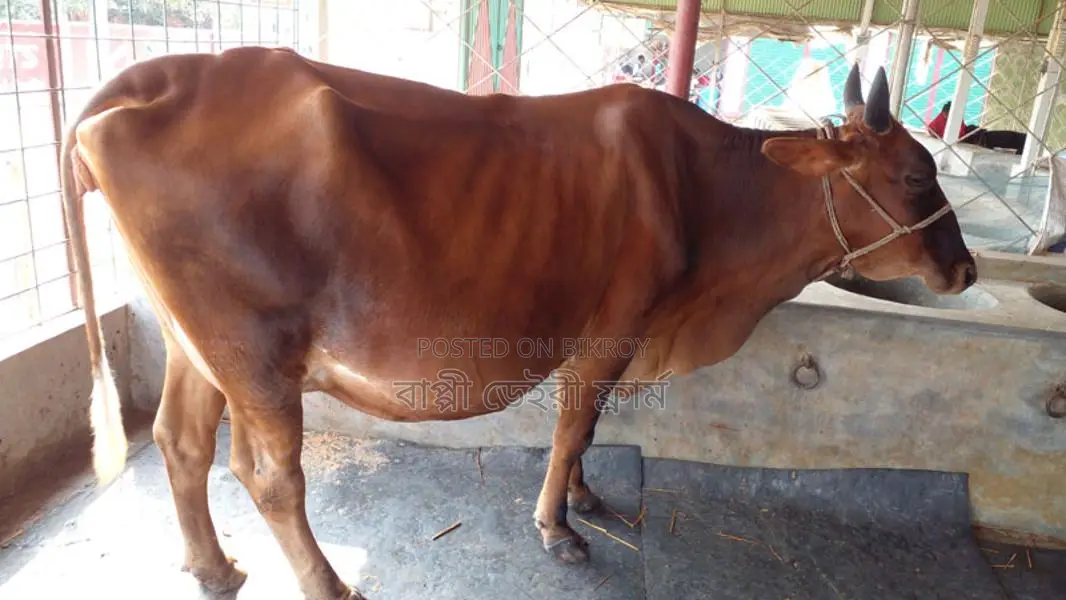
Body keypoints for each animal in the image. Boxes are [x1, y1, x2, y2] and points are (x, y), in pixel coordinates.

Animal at [60, 46, 976, 600]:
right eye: (913, 174)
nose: (965, 270)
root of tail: (162, 76)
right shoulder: (611, 330)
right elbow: (573, 426)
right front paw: (556, 526)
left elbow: (590, 429)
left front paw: (584, 497)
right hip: (253, 351)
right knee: (269, 475)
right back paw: (327, 584)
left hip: (196, 346)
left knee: (180, 441)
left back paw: (213, 567)